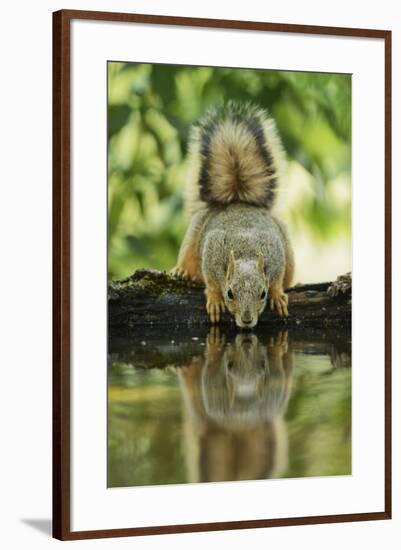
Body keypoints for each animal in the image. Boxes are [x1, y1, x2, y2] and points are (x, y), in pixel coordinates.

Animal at [172, 102, 294, 330]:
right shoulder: (212, 251)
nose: (246, 320)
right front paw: (214, 299)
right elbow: (211, 282)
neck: (245, 250)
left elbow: (276, 279)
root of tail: (237, 201)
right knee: (188, 254)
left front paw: (277, 295)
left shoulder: (276, 252)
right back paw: (182, 271)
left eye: (262, 294)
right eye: (229, 293)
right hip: (194, 232)